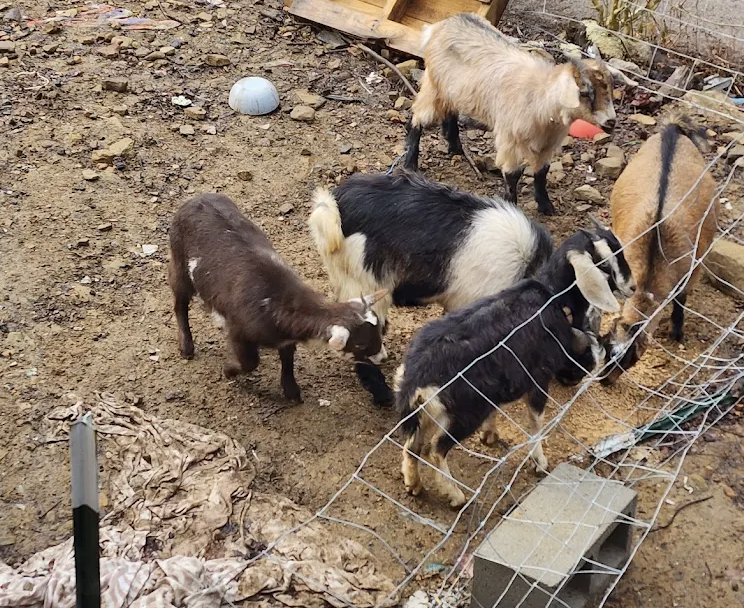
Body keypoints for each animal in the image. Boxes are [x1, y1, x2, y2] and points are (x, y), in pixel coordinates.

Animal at [168, 193, 388, 402]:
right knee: (180, 302)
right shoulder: (238, 329)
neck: (279, 300)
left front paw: (291, 391)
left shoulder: (286, 337)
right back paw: (186, 346)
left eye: (379, 331)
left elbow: (288, 358)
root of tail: (195, 199)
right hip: (179, 261)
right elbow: (249, 362)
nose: (383, 358)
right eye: (360, 344)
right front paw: (229, 370)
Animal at [394, 221, 634, 507]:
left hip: (432, 412)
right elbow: (536, 423)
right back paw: (455, 495)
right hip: (465, 413)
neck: (552, 299)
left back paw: (414, 484)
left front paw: (490, 435)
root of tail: (417, 378)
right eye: (605, 264)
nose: (632, 287)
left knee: (413, 445)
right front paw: (539, 462)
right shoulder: (539, 379)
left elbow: (497, 412)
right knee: (436, 449)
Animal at [403, 12, 616, 215]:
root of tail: (441, 25)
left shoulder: (547, 143)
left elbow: (542, 172)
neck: (541, 97)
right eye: (585, 93)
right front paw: (511, 204)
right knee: (418, 118)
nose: (611, 121)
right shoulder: (511, 139)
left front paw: (546, 206)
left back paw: (454, 146)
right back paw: (410, 164)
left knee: (450, 111)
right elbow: (512, 175)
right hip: (433, 84)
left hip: (452, 90)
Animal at [600, 114, 719, 386]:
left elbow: (681, 300)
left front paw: (677, 332)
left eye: (632, 360)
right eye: (607, 349)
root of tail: (672, 131)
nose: (604, 381)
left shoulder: (692, 270)